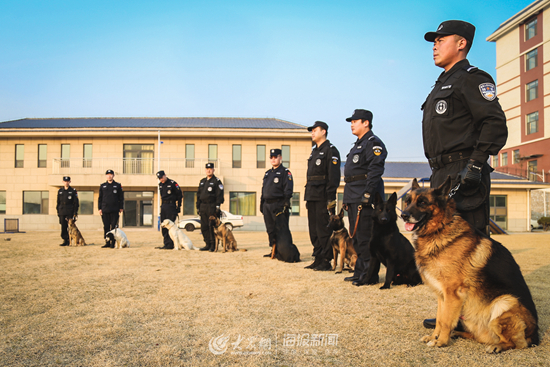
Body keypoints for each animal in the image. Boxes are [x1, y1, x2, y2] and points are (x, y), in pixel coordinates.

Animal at [404, 178, 540, 354]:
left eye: (422, 202)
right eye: (408, 202)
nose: (403, 215)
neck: (440, 228)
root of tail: (535, 335)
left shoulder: (452, 294)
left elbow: (446, 321)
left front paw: (441, 341)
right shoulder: (442, 295)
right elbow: (440, 319)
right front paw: (434, 337)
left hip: (504, 302)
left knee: (517, 343)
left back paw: (497, 346)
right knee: (479, 336)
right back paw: (460, 334)